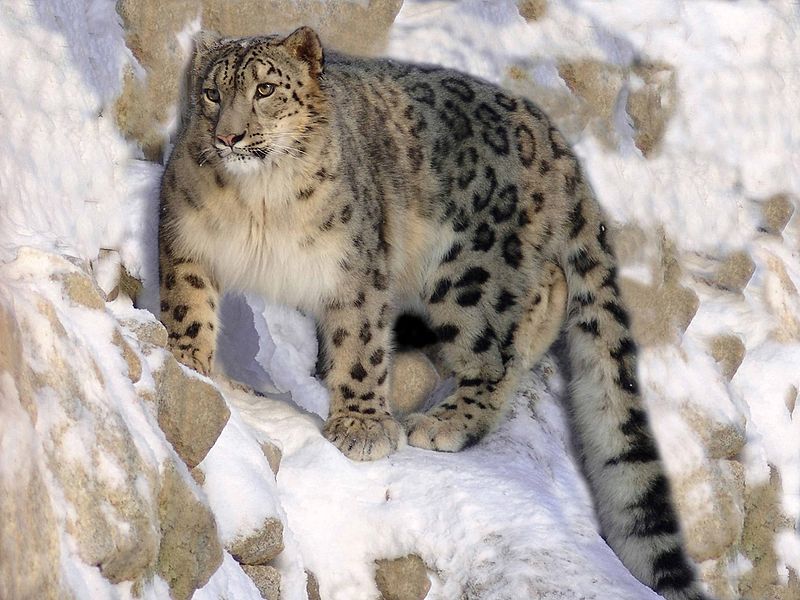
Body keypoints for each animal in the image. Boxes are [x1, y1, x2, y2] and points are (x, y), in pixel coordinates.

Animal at [158, 25, 712, 596]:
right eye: (212, 93)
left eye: (265, 89)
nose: (229, 137)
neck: (259, 204)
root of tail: (556, 141)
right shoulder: (188, 237)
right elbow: (188, 306)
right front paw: (190, 363)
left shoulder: (358, 268)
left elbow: (360, 346)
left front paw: (361, 428)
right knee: (548, 292)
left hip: (473, 275)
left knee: (498, 347)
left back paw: (446, 421)